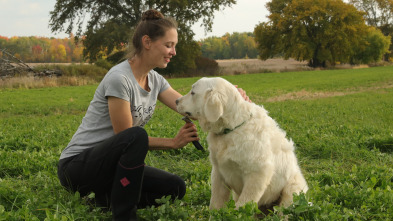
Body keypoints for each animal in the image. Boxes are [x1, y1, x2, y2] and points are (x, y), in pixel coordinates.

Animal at [176, 77, 308, 211]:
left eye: (193, 93)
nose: (176, 101)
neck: (231, 129)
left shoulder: (258, 172)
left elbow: (244, 203)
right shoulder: (218, 172)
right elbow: (216, 200)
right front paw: (214, 213)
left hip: (292, 190)